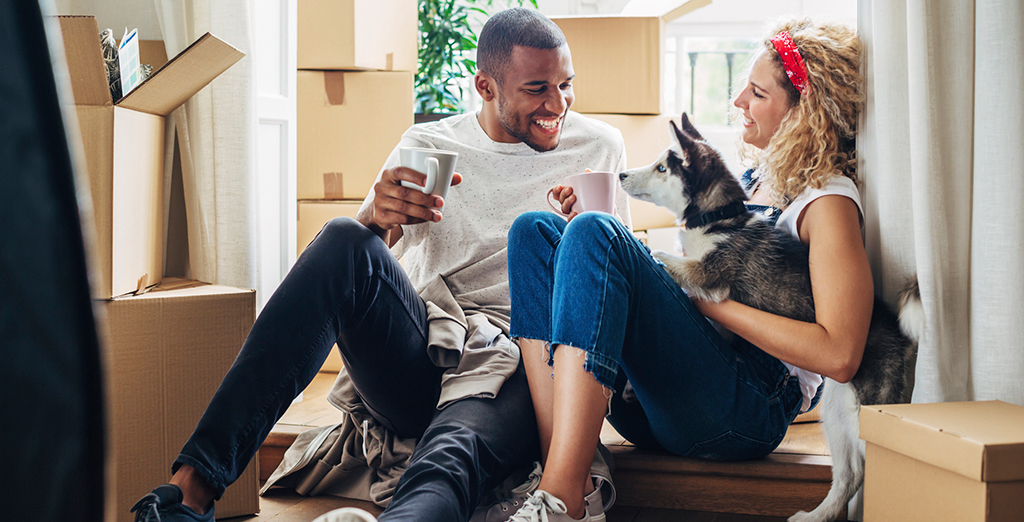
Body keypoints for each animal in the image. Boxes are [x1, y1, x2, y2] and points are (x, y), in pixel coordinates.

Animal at [618, 113, 925, 522]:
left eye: (662, 167)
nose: (621, 175)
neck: (718, 219)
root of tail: (897, 331)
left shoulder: (710, 275)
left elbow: (662, 259)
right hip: (837, 411)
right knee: (850, 475)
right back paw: (816, 516)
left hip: (865, 411)